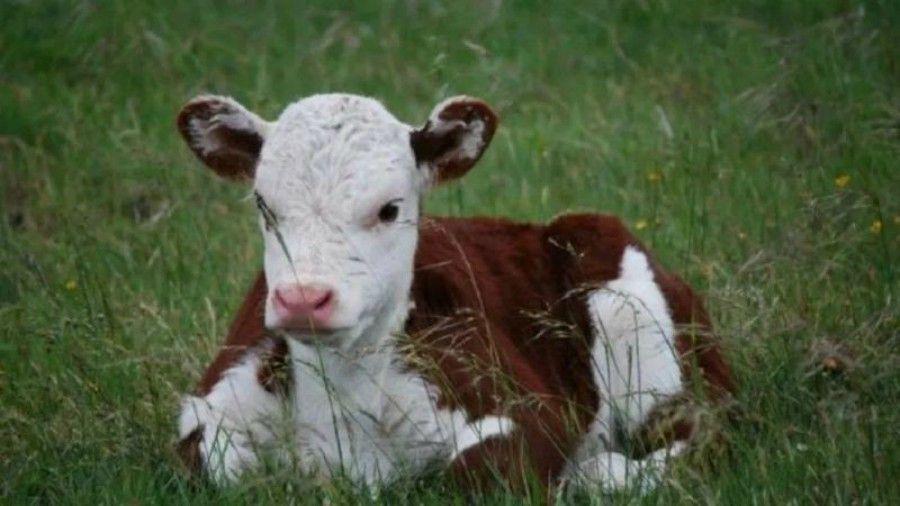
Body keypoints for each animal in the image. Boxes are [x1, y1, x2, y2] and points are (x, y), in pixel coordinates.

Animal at [172, 94, 736, 494]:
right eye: (263, 205)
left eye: (390, 209)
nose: (303, 299)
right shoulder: (210, 407)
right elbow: (211, 465)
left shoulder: (526, 408)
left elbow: (478, 470)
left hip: (652, 343)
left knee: (698, 437)